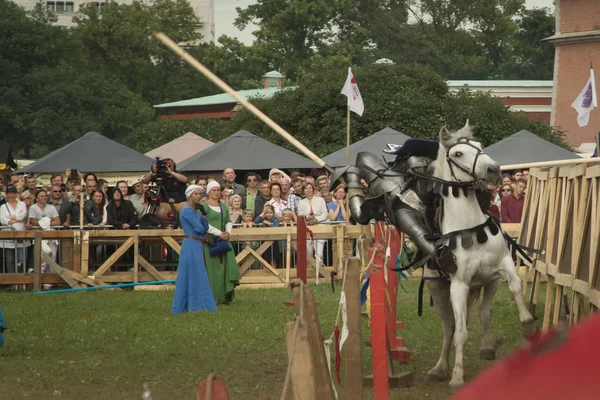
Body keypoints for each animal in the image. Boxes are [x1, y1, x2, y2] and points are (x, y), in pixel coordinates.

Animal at [424, 122, 536, 390]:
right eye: (457, 153)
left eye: (480, 146)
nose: (493, 169)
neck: (470, 227)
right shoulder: (459, 285)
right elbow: (460, 332)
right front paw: (456, 376)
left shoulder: (503, 266)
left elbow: (516, 286)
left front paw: (528, 324)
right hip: (438, 290)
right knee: (449, 327)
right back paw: (440, 368)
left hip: (489, 283)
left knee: (485, 312)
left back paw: (487, 346)